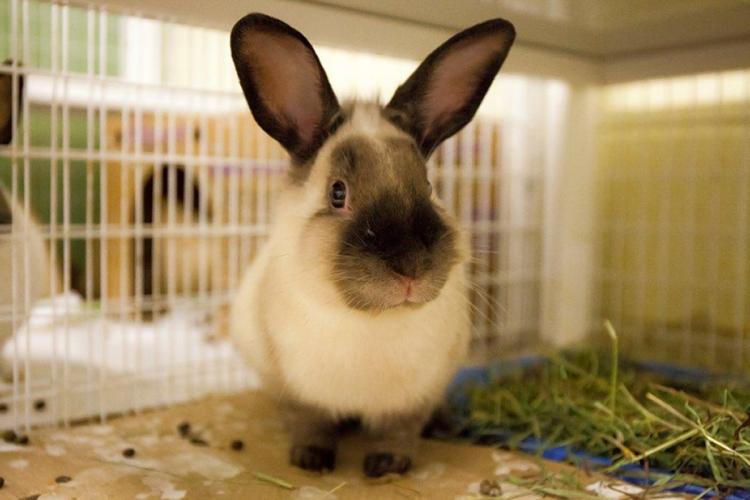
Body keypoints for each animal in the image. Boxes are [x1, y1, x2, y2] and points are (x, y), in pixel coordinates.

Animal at [229, 13, 515, 477]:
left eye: (429, 187)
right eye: (338, 193)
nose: (411, 267)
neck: (373, 321)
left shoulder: (413, 398)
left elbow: (398, 431)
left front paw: (387, 465)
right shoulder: (298, 393)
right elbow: (310, 423)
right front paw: (311, 460)